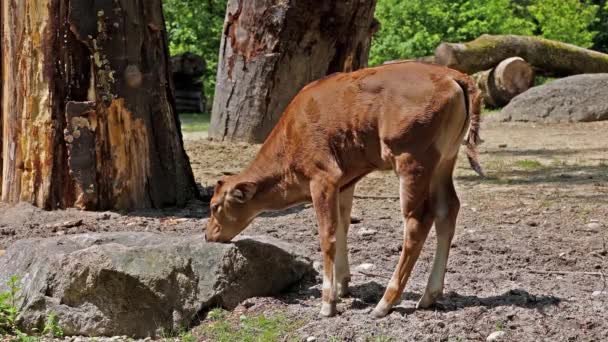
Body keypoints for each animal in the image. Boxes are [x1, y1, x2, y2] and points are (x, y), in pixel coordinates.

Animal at [207, 62, 482, 318]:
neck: (291, 134)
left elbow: (327, 235)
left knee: (417, 221)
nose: (209, 235)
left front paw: (328, 303)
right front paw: (342, 286)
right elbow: (342, 227)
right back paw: (429, 296)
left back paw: (385, 303)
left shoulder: (323, 178)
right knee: (448, 210)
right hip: (445, 161)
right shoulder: (344, 183)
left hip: (412, 161)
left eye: (214, 206)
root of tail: (453, 75)